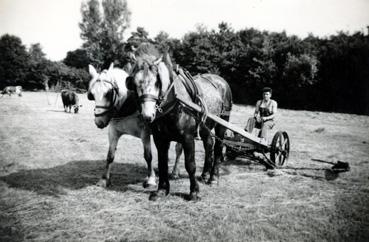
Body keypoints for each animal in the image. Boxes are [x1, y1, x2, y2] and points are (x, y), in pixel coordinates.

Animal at [125, 43, 231, 200]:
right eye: (134, 83)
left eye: (157, 82)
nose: (147, 115)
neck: (175, 104)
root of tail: (220, 80)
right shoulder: (160, 139)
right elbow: (162, 163)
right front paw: (162, 189)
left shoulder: (187, 138)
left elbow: (190, 164)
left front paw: (194, 192)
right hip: (205, 126)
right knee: (209, 144)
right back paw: (205, 174)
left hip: (222, 122)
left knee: (218, 147)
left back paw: (213, 178)